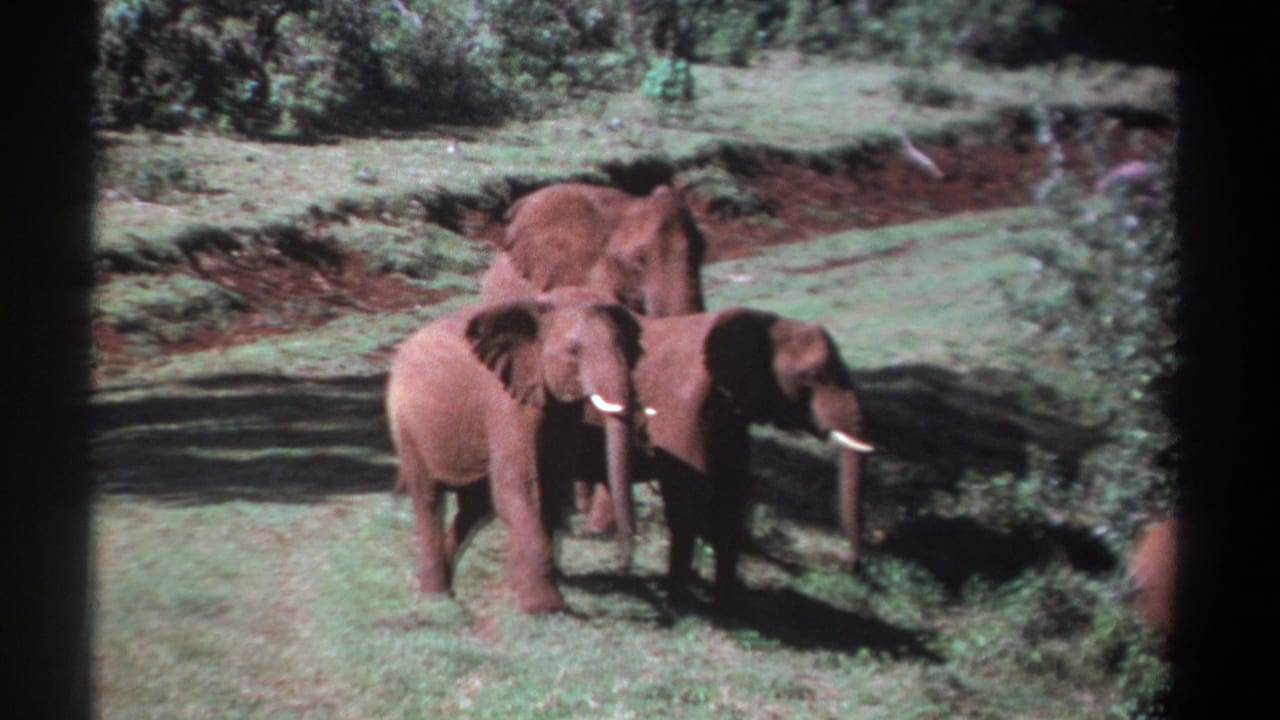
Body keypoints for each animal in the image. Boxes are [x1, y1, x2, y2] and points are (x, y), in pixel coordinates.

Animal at [385, 297, 642, 614]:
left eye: (625, 348)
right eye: (573, 351)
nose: (624, 565)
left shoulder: (562, 410)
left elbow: (553, 486)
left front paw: (534, 591)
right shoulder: (505, 401)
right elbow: (519, 486)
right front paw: (545, 607)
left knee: (476, 506)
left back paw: (437, 585)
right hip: (405, 424)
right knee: (429, 498)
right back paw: (436, 596)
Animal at [575, 306, 875, 611]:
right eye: (813, 374)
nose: (855, 566)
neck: (762, 322)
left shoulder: (732, 417)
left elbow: (731, 494)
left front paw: (726, 605)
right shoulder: (683, 403)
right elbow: (687, 494)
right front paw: (679, 601)